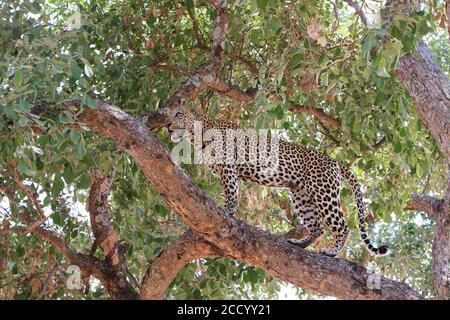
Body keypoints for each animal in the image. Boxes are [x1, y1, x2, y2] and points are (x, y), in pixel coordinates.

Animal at [167, 107, 388, 258]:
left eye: (178, 114)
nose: (167, 126)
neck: (198, 134)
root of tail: (334, 161)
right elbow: (231, 191)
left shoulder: (229, 168)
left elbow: (231, 193)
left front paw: (228, 211)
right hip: (302, 196)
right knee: (317, 227)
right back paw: (299, 243)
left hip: (324, 192)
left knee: (342, 226)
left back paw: (331, 251)